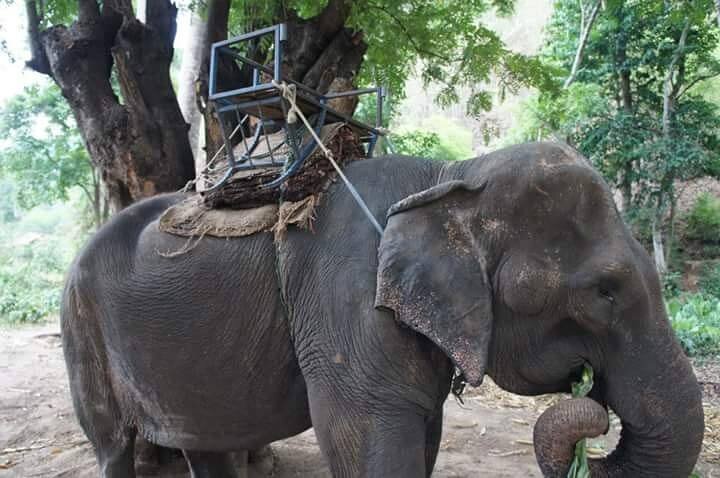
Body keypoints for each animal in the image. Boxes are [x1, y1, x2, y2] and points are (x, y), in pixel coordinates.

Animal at [61, 142, 703, 477]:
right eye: (605, 292)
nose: (589, 395)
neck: (452, 177)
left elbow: (425, 436)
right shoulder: (345, 304)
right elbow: (366, 439)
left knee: (204, 446)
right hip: (80, 329)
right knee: (112, 446)